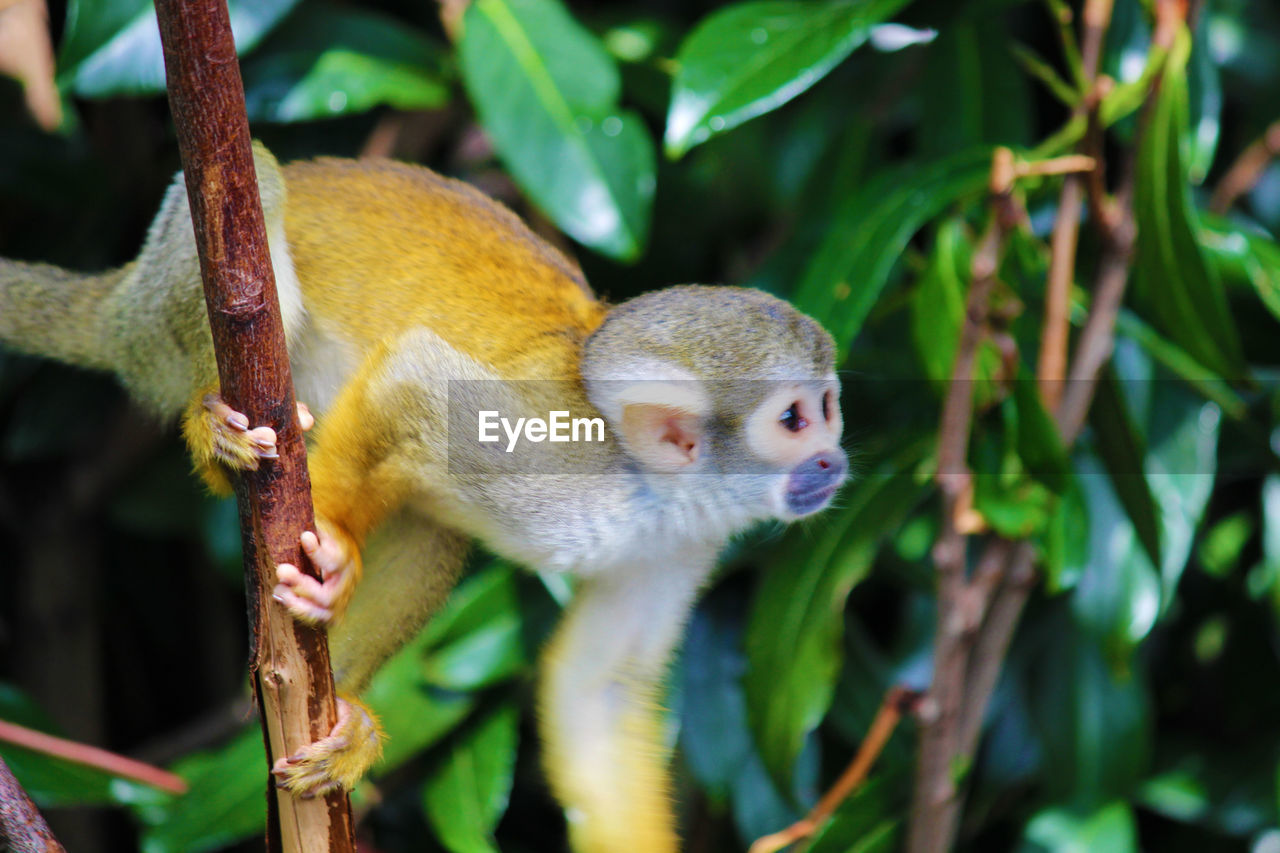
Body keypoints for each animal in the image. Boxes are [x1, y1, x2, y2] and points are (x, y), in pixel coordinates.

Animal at [0, 146, 844, 850]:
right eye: (794, 420)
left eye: (830, 406)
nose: (834, 461)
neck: (653, 488)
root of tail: (121, 301)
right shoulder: (557, 451)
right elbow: (415, 377)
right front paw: (331, 539)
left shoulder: (680, 541)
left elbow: (594, 688)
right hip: (172, 314)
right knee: (259, 187)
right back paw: (219, 442)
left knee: (436, 527)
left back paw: (341, 712)